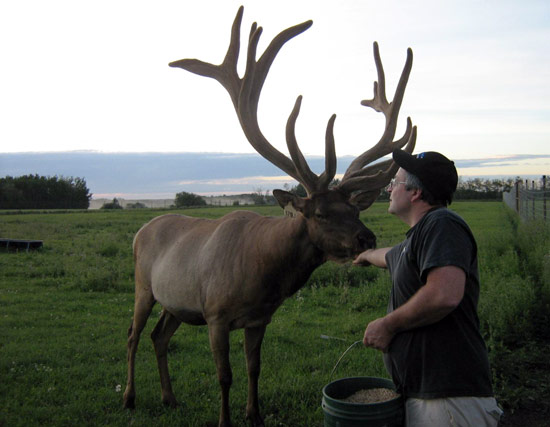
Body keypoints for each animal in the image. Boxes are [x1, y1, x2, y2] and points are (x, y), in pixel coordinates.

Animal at [124, 5, 418, 426]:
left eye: (353, 208)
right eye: (321, 213)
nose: (367, 239)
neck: (262, 274)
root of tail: (140, 231)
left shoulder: (259, 319)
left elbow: (254, 368)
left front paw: (255, 415)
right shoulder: (215, 314)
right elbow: (224, 375)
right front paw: (225, 420)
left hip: (174, 302)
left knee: (158, 336)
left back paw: (169, 398)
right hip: (143, 286)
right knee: (133, 335)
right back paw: (130, 397)